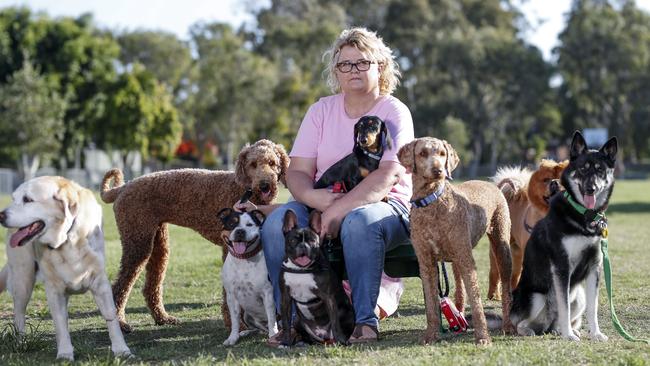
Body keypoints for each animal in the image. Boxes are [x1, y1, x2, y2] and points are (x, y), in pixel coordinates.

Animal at [0, 177, 132, 360]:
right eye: (14, 198)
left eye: (27, 199)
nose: (1, 215)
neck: (67, 239)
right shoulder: (54, 290)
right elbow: (60, 324)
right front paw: (64, 353)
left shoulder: (101, 284)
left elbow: (111, 317)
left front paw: (121, 349)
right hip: (23, 279)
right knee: (19, 314)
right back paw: (21, 343)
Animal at [219, 207, 278, 344]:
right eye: (231, 224)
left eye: (250, 224)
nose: (240, 231)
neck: (243, 259)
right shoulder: (232, 296)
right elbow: (235, 320)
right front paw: (233, 337)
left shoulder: (268, 294)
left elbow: (271, 318)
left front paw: (273, 335)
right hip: (247, 315)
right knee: (259, 328)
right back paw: (245, 332)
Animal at [394, 137, 512, 346]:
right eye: (422, 153)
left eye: (442, 154)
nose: (438, 170)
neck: (432, 200)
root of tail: (495, 186)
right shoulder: (426, 262)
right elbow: (432, 305)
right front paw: (430, 336)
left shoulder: (467, 260)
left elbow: (476, 301)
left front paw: (483, 338)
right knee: (460, 292)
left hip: (500, 243)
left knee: (505, 287)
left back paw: (507, 326)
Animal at [486, 157, 568, 298]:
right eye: (546, 180)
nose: (555, 183)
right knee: (495, 272)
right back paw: (494, 295)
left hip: (517, 251)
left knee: (514, 275)